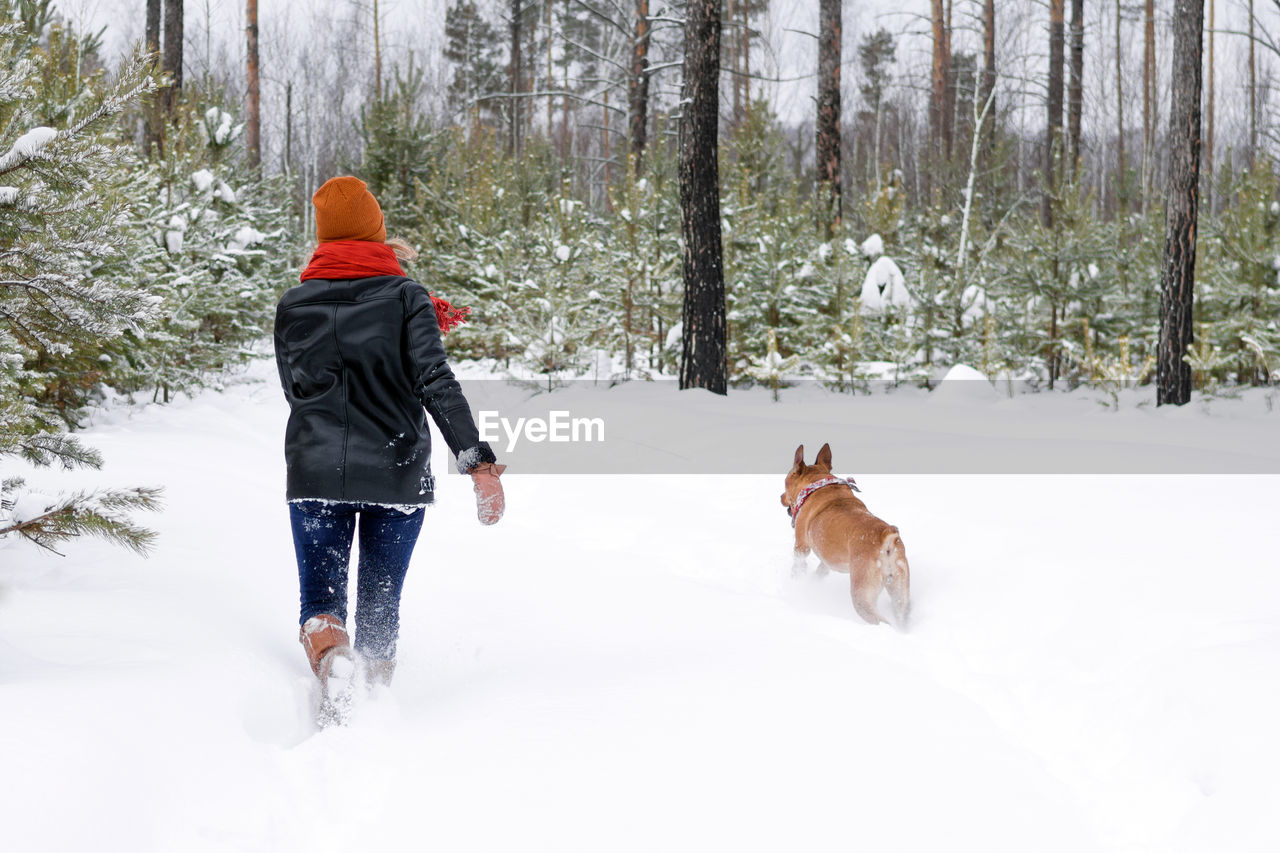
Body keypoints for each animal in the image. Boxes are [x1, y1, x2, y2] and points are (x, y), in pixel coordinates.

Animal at [778, 440, 911, 622]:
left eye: (785, 482)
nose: (780, 497)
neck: (817, 485)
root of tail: (886, 539)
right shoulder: (826, 560)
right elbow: (820, 571)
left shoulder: (801, 547)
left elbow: (798, 567)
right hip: (900, 589)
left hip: (862, 593)